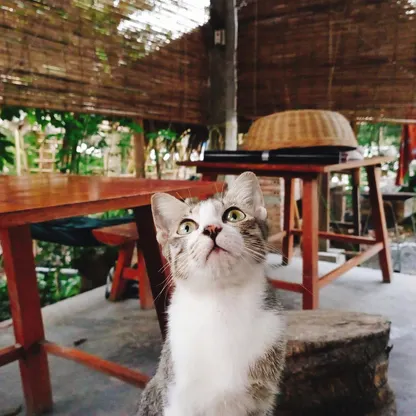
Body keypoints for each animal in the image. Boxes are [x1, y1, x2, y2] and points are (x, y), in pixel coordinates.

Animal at [135, 171, 286, 416]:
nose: (212, 228)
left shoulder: (260, 399)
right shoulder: (175, 397)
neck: (221, 303)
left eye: (234, 215)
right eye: (186, 227)